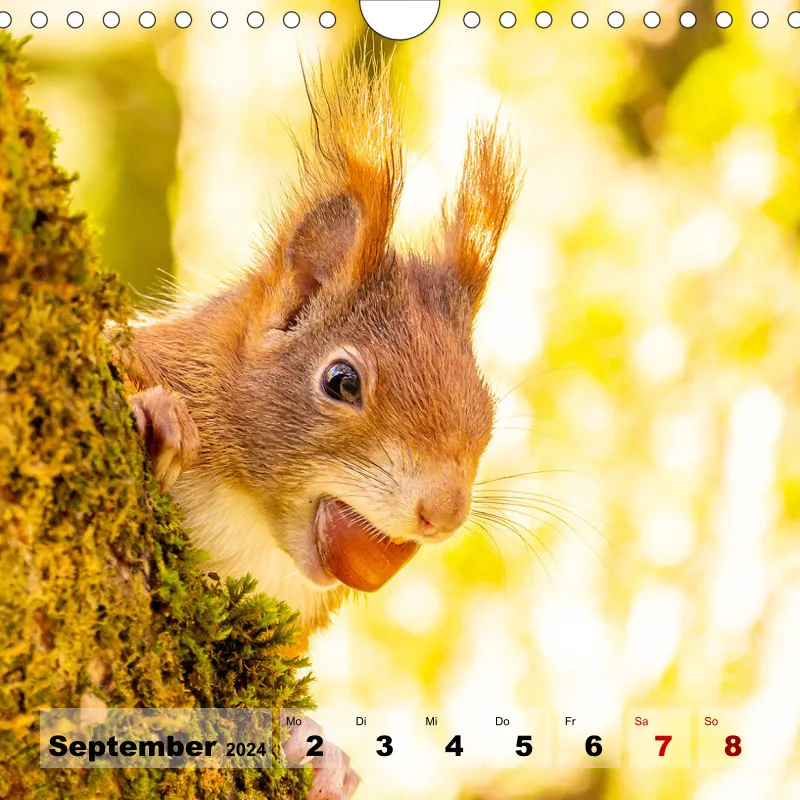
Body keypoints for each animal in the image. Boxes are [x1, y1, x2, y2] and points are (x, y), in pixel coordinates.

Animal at [115, 59, 520, 798]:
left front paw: (323, 753)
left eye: (488, 410)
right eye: (341, 381)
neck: (252, 522)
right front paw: (161, 416)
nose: (443, 514)